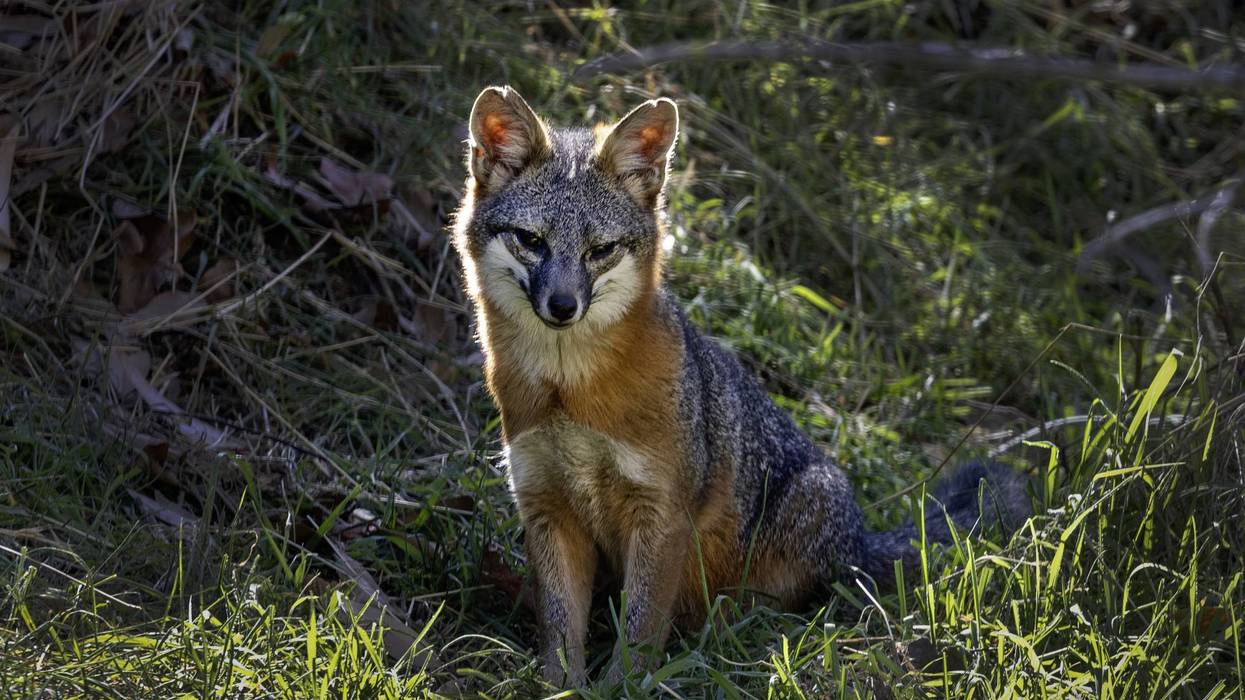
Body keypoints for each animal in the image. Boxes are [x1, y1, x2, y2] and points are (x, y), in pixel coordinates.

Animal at [451, 85, 1029, 687]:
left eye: (600, 250)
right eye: (531, 241)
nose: (563, 306)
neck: (569, 395)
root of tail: (859, 538)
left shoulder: (661, 513)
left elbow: (639, 630)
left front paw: (620, 688)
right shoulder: (546, 505)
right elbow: (561, 631)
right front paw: (561, 690)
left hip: (800, 511)